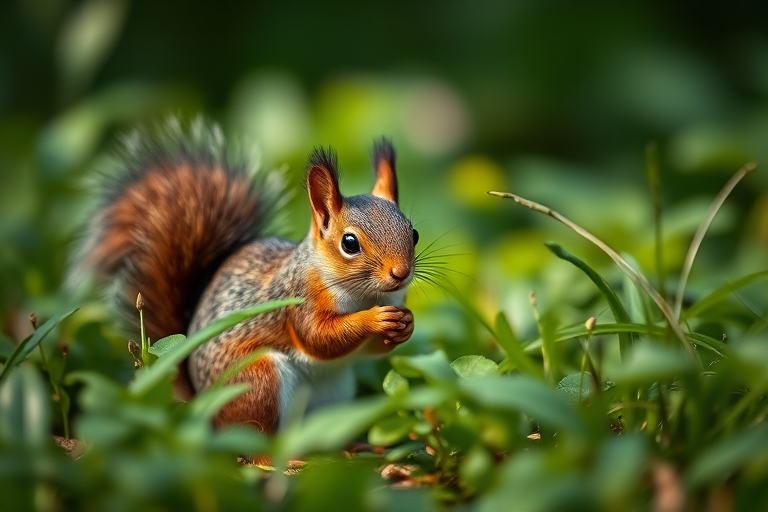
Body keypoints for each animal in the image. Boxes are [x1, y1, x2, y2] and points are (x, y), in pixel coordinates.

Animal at [73, 118, 417, 434]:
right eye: (349, 243)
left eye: (413, 234)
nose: (401, 274)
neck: (365, 294)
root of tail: (202, 408)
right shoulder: (299, 299)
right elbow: (319, 338)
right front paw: (374, 319)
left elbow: (368, 350)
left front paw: (406, 323)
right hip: (255, 381)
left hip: (331, 396)